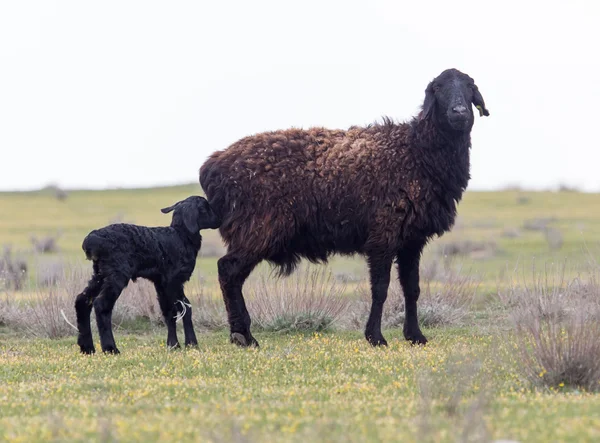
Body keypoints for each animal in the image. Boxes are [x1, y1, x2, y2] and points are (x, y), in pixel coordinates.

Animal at [74, 196, 220, 356]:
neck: (181, 237)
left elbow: (172, 310)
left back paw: (87, 348)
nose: (218, 220)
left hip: (100, 273)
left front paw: (177, 345)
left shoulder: (161, 282)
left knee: (82, 300)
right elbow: (181, 308)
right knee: (101, 304)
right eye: (205, 208)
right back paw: (111, 348)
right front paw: (187, 344)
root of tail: (91, 240)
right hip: (117, 273)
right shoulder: (173, 280)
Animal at [199, 67, 490, 348]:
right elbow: (380, 288)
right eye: (438, 88)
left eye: (470, 87)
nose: (459, 112)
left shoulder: (412, 239)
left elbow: (412, 288)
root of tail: (212, 166)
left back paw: (241, 335)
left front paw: (415, 336)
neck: (416, 151)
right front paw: (376, 337)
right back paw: (244, 336)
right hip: (257, 229)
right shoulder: (383, 233)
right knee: (228, 271)